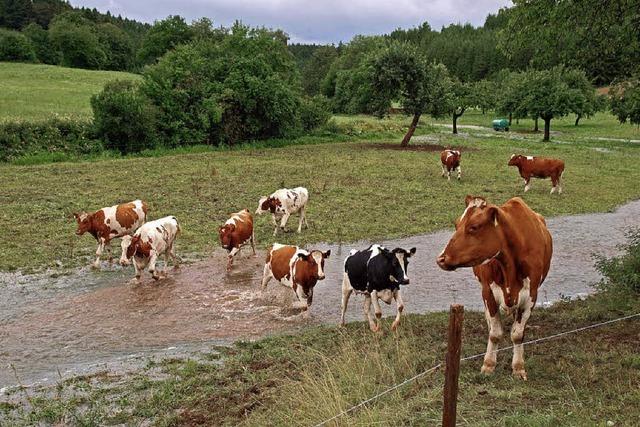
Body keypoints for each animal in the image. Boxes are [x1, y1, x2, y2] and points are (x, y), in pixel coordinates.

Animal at [438, 196, 552, 382]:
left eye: (474, 227)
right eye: (456, 224)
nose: (441, 258)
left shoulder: (531, 297)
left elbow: (518, 334)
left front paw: (518, 368)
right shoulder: (488, 292)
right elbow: (495, 332)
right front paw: (488, 364)